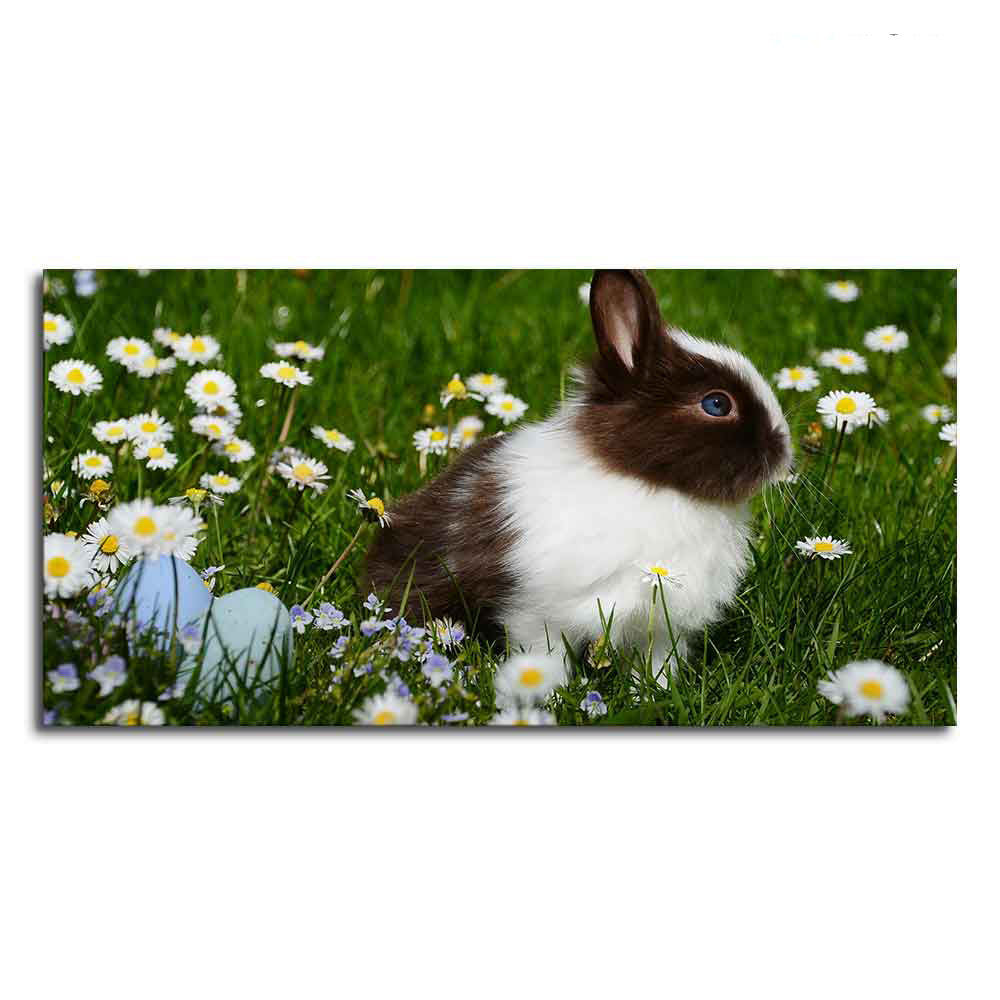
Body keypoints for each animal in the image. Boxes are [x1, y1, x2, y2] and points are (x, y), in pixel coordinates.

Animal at [364, 269, 792, 683]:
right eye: (717, 404)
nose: (784, 451)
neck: (649, 484)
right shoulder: (537, 614)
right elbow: (544, 660)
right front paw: (549, 696)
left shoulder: (661, 628)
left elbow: (656, 667)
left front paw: (652, 695)